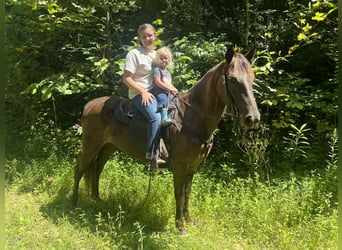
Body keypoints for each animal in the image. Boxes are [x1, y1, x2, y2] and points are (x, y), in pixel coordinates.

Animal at [71, 46, 260, 234]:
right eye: (232, 79)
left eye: (252, 78)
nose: (253, 118)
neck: (192, 117)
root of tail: (89, 105)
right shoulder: (179, 166)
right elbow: (179, 194)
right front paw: (181, 227)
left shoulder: (192, 166)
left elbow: (187, 193)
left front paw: (188, 221)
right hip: (90, 145)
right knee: (79, 170)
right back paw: (74, 202)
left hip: (107, 147)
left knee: (97, 170)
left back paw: (97, 199)